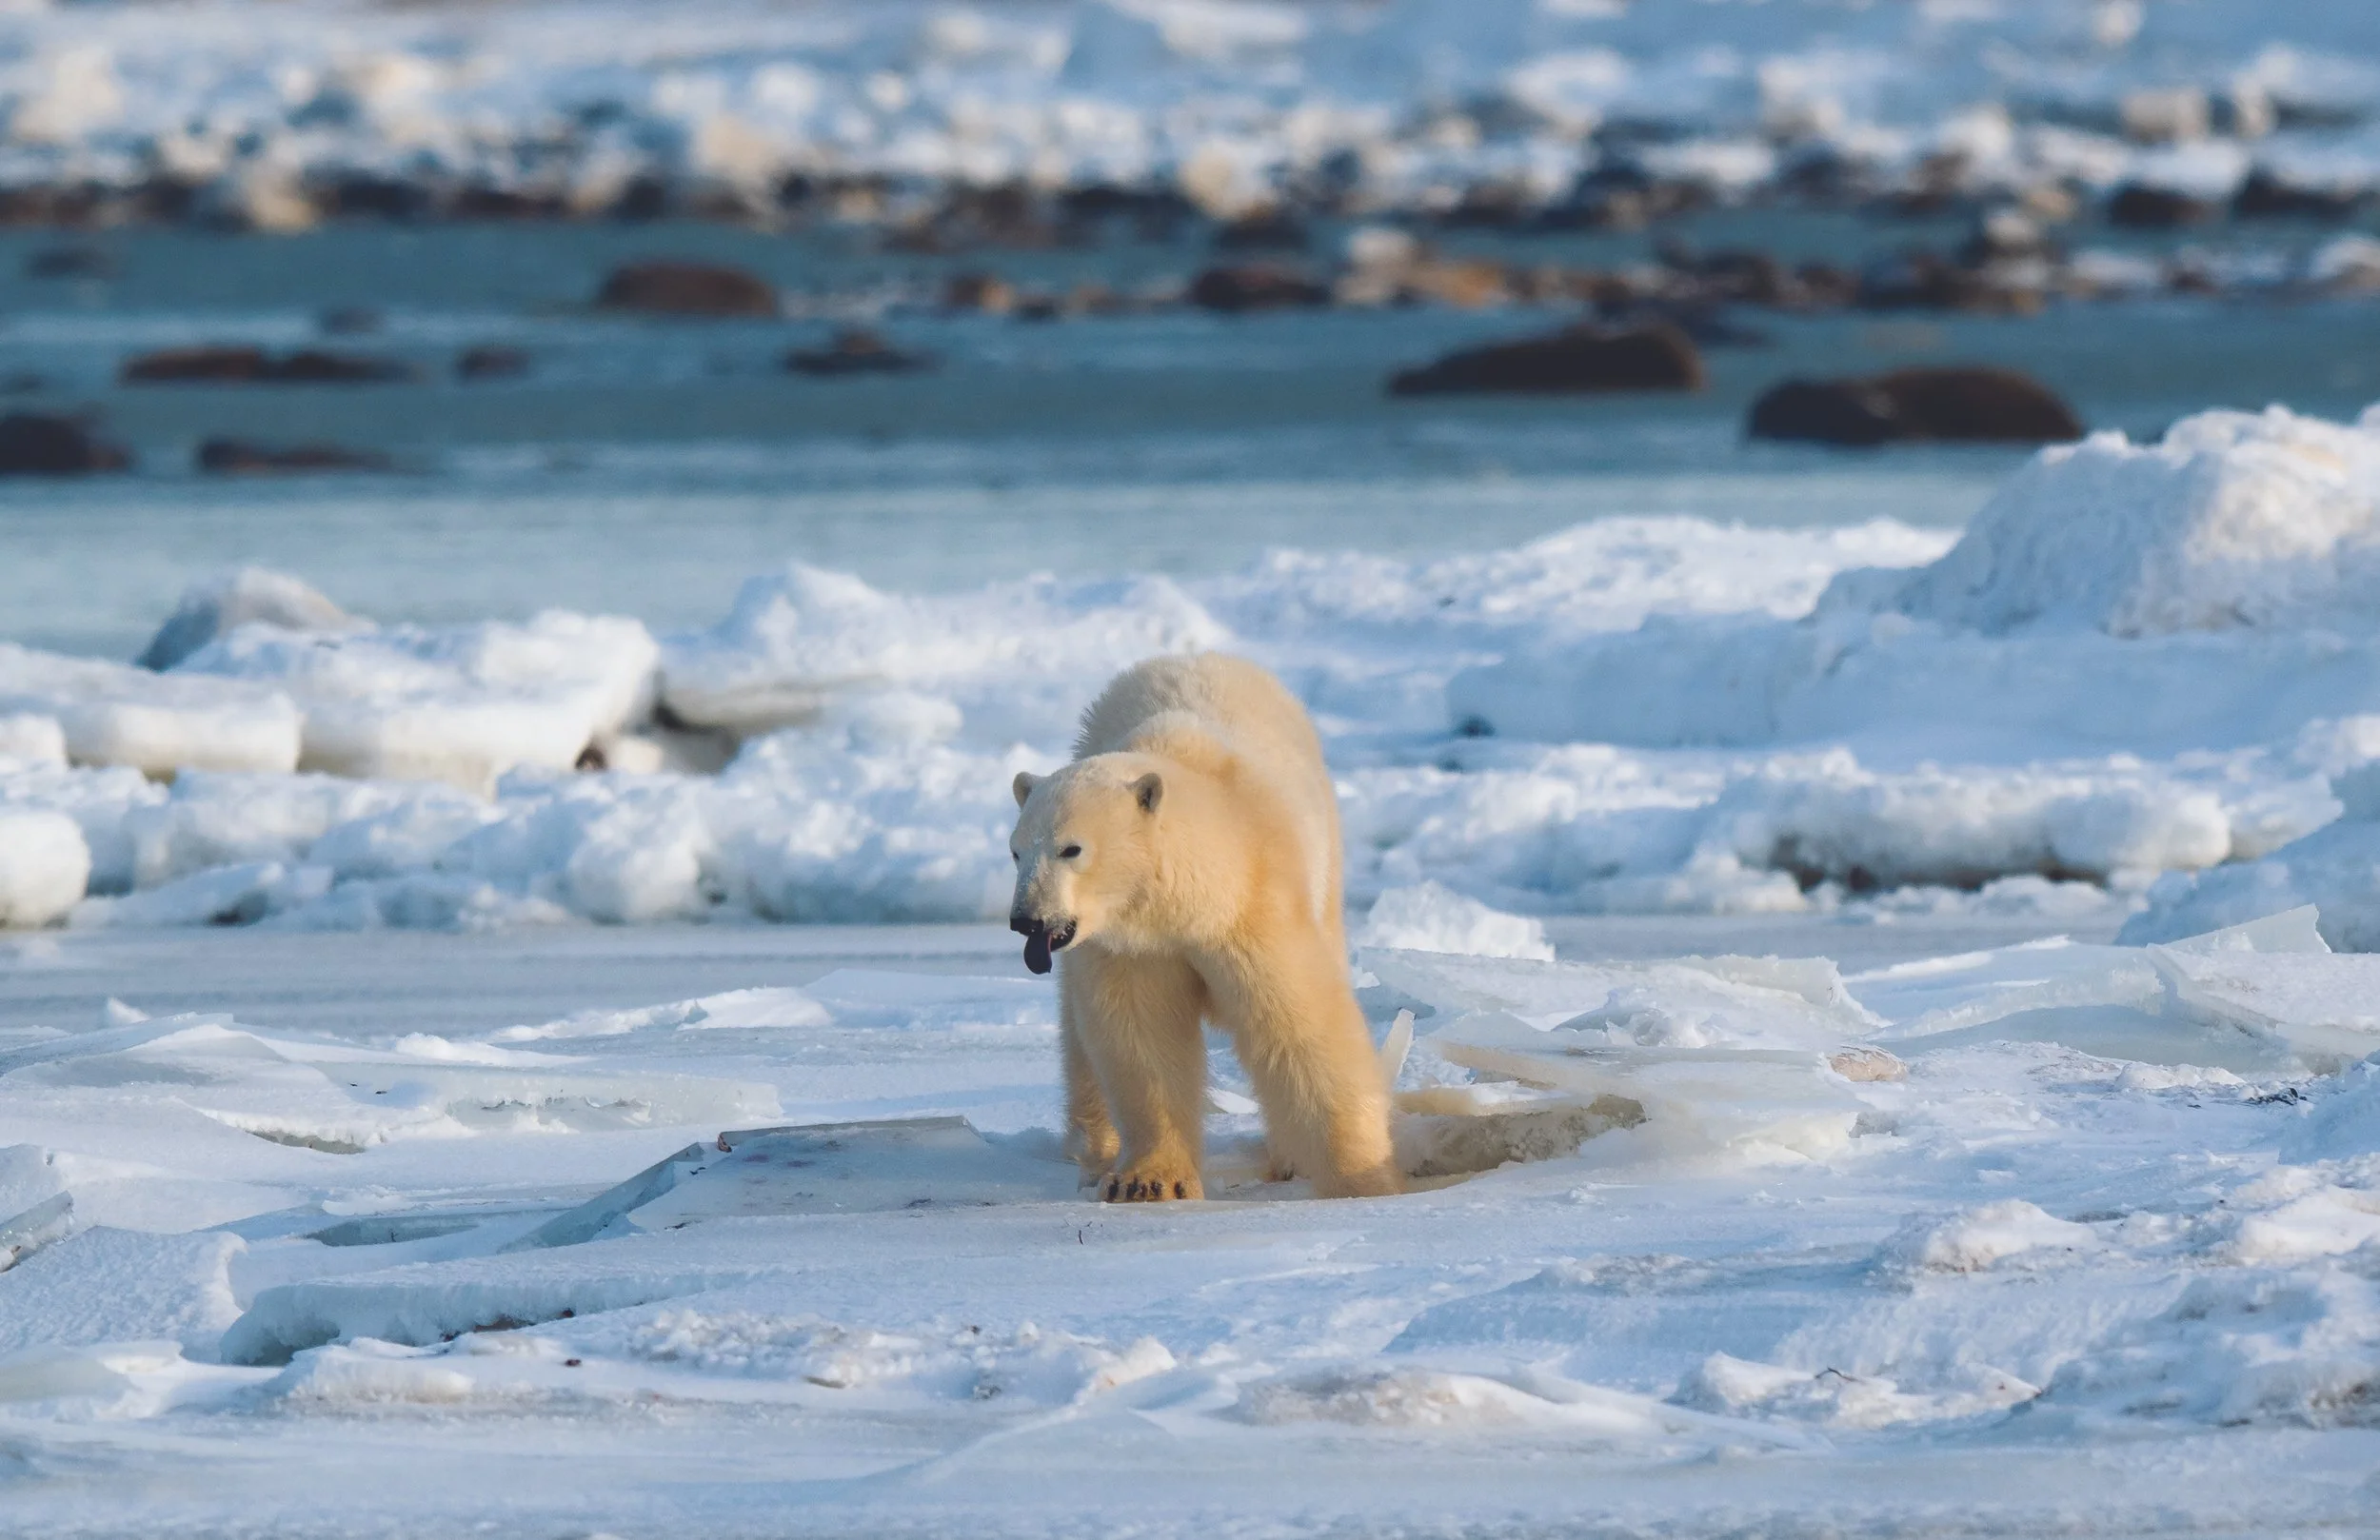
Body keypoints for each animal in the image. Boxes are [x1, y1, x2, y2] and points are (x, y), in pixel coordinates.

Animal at [1007, 653, 1400, 1203]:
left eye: (1071, 848)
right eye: (1016, 851)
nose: (1027, 918)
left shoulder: (1258, 907)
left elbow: (1299, 1027)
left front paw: (1365, 1180)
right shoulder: (1132, 946)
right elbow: (1141, 1038)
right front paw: (1147, 1181)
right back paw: (1094, 1151)